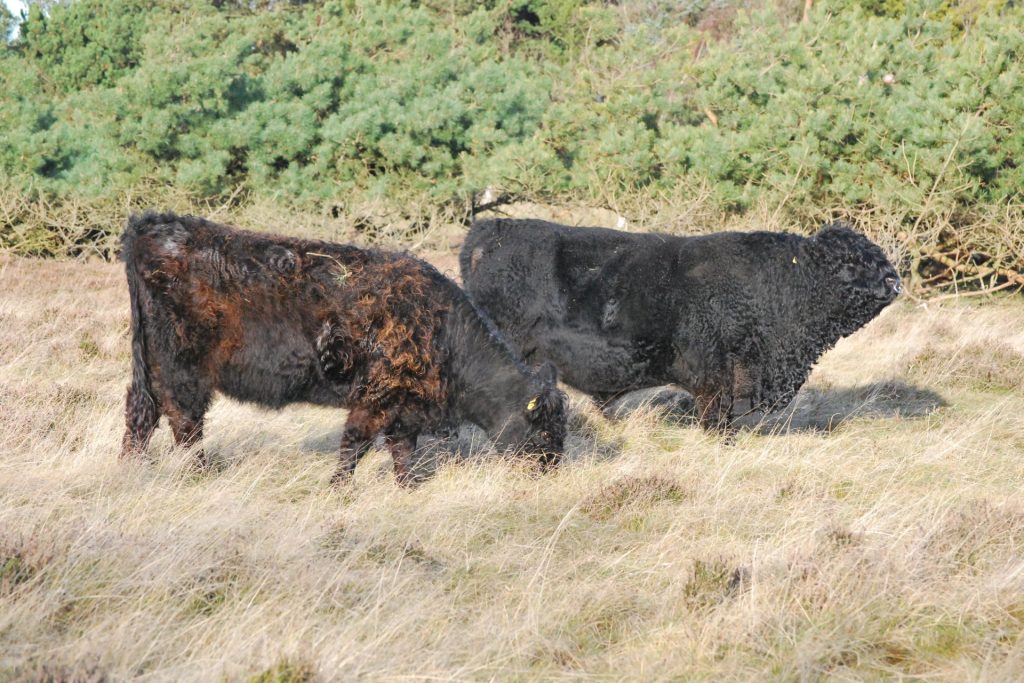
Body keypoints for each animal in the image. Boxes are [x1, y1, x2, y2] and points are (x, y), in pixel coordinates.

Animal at [122, 210, 569, 483]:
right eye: (545, 431)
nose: (552, 468)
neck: (444, 329)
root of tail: (155, 226)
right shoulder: (375, 398)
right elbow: (355, 444)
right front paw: (339, 488)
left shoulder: (404, 406)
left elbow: (401, 450)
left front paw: (407, 487)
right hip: (182, 370)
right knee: (183, 421)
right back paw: (197, 473)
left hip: (149, 365)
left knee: (141, 412)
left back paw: (134, 470)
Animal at [460, 219, 901, 430]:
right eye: (848, 264)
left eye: (878, 255)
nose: (895, 281)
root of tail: (492, 231)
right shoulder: (716, 377)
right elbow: (718, 420)